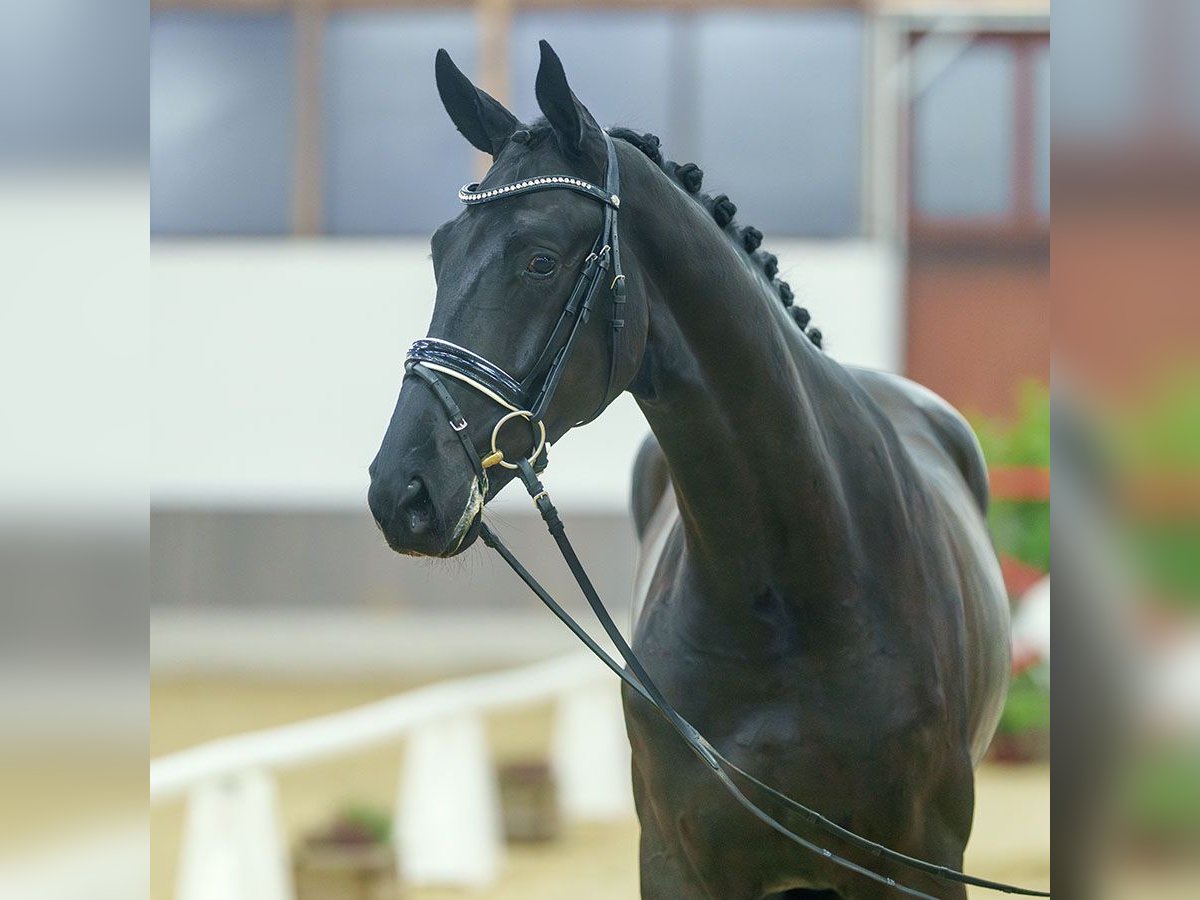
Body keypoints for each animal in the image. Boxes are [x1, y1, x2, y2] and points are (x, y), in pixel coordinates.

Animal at [372, 45, 1012, 900]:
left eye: (539, 260)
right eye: (441, 252)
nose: (400, 491)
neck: (787, 588)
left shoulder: (924, 864)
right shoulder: (676, 860)